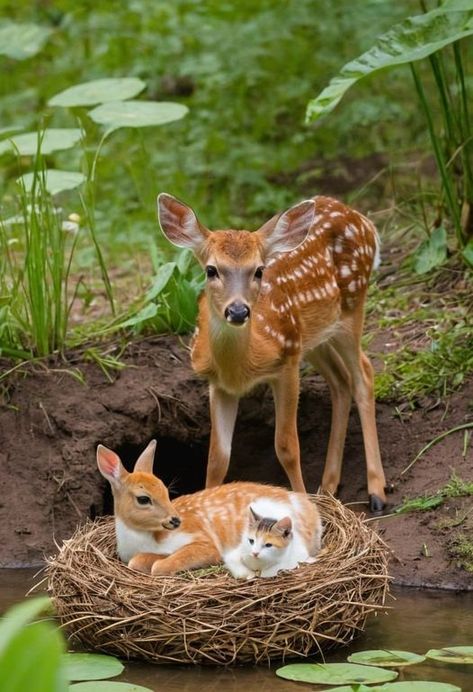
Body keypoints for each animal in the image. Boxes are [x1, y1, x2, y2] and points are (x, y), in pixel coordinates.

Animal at [97, 438, 322, 580]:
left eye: (166, 491)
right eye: (143, 499)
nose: (175, 520)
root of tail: (315, 517)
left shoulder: (205, 541)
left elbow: (161, 566)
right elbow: (137, 562)